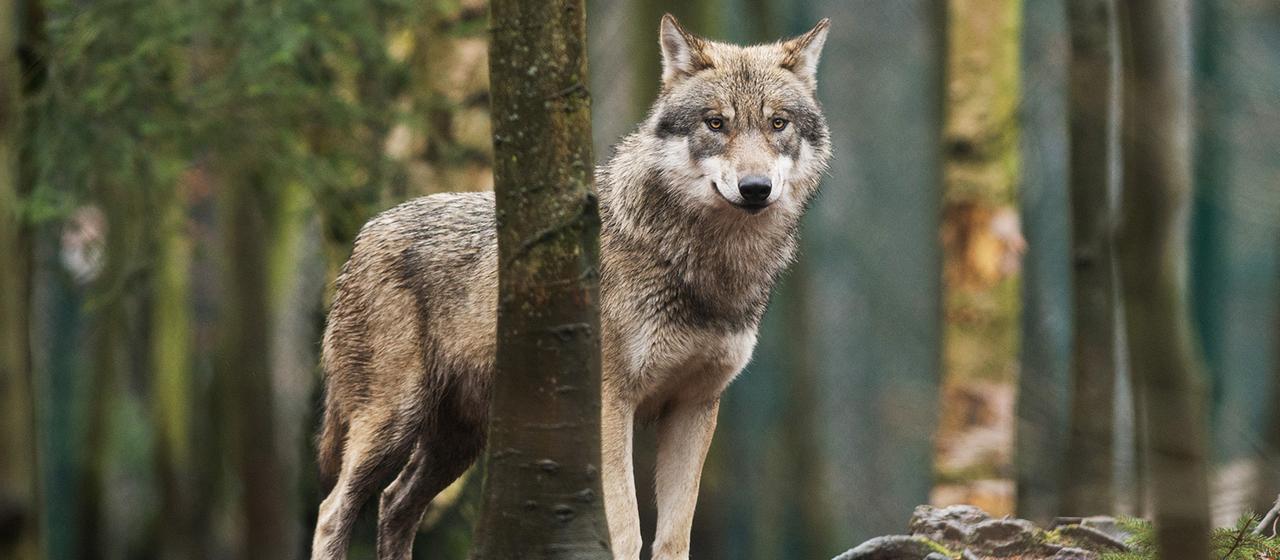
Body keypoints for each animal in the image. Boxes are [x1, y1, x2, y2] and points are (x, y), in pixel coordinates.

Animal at [310, 14, 831, 560]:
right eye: (716, 123)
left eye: (778, 124)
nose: (756, 188)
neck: (704, 266)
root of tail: (365, 234)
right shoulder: (611, 405)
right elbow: (626, 531)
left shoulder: (695, 407)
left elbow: (672, 538)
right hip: (394, 423)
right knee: (333, 510)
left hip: (458, 441)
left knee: (394, 504)